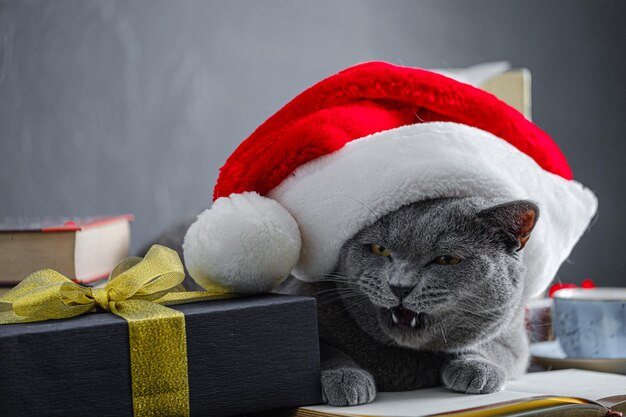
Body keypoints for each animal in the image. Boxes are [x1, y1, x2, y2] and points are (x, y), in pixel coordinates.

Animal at [147, 196, 536, 406]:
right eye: (379, 250)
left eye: (446, 260)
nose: (400, 286)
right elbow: (326, 350)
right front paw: (348, 380)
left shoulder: (513, 337)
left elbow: (490, 349)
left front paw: (476, 368)